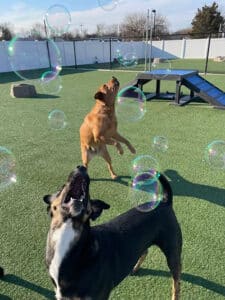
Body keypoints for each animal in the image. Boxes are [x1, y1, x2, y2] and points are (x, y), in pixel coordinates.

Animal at [44, 165, 183, 298]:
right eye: (62, 187)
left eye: (88, 194)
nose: (82, 168)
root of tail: (165, 201)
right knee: (145, 251)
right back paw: (135, 268)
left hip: (173, 252)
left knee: (176, 282)